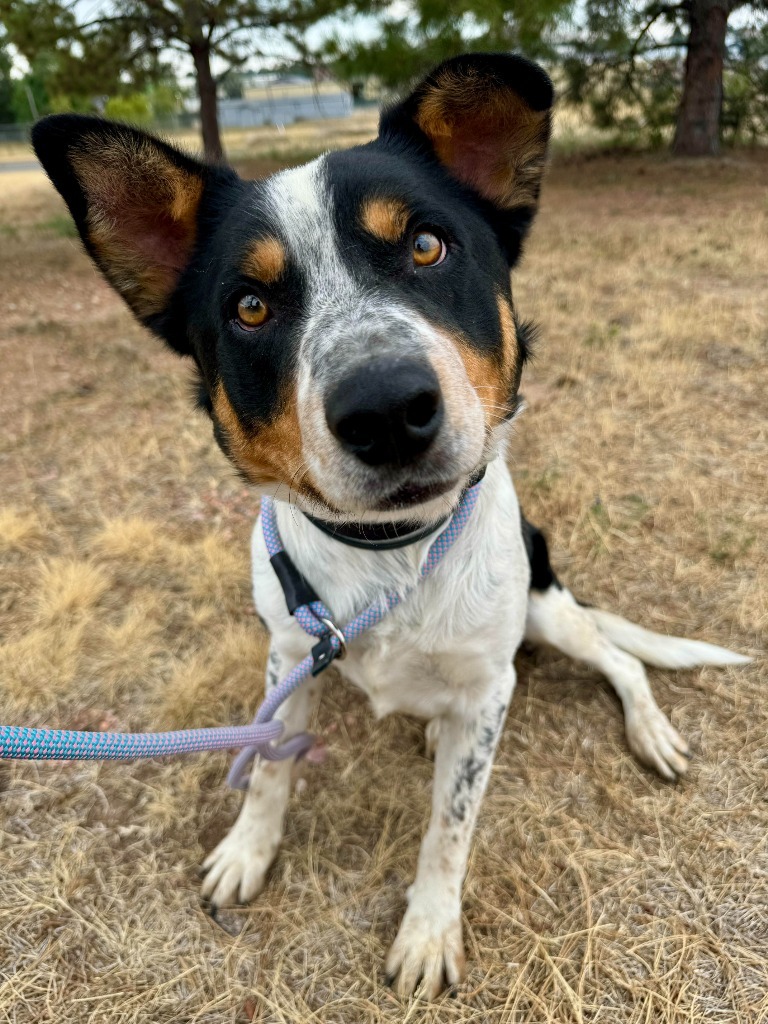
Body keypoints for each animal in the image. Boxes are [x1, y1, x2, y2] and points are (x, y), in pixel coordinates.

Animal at [33, 54, 749, 999]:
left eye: (426, 246)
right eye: (249, 306)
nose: (383, 409)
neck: (388, 556)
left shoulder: (483, 696)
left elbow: (449, 828)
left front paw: (428, 930)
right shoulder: (290, 654)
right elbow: (268, 770)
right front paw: (248, 850)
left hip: (544, 607)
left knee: (618, 658)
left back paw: (649, 731)